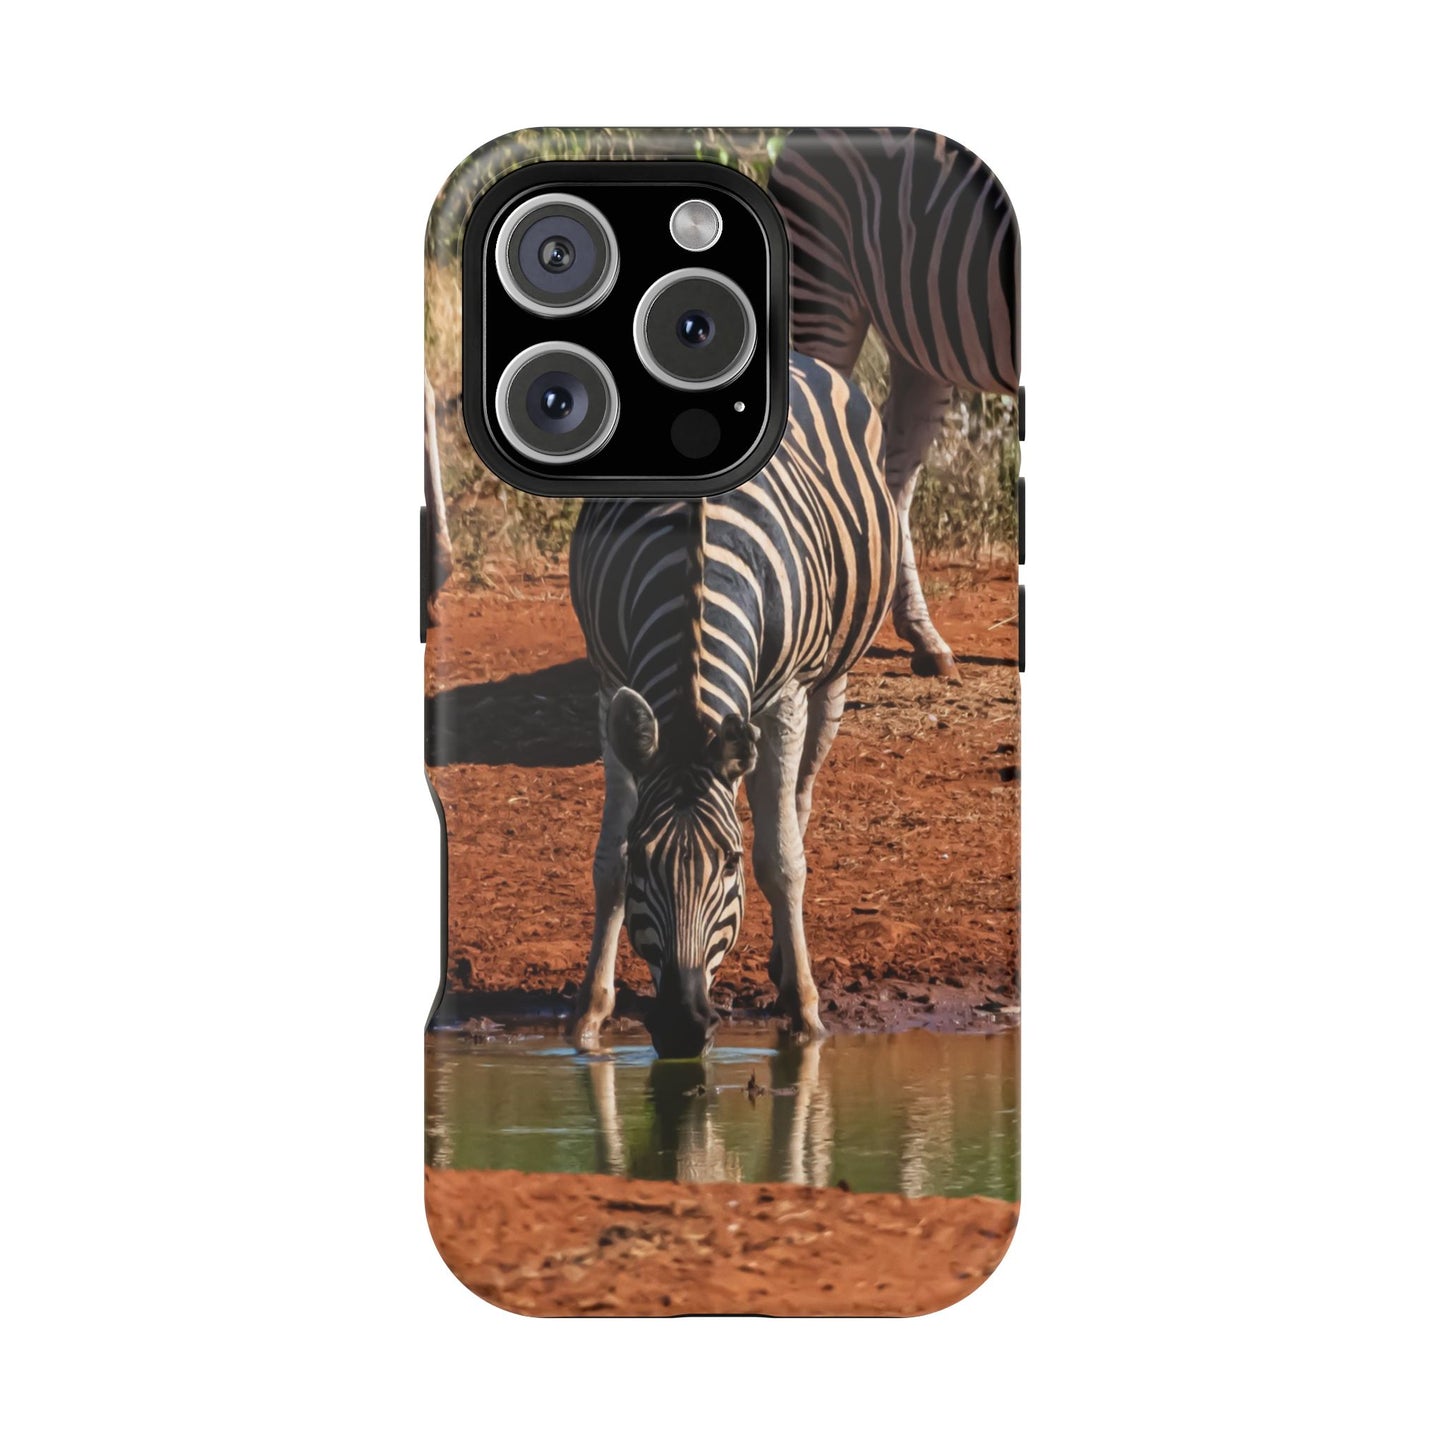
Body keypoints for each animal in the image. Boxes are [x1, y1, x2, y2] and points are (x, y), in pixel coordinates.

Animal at [569, 353, 898, 1057]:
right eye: (647, 860)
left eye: (728, 863)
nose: (683, 1026)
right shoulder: (610, 685)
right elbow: (607, 863)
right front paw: (589, 1014)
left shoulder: (785, 698)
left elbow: (782, 861)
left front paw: (805, 1013)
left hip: (829, 681)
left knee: (797, 803)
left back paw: (784, 964)